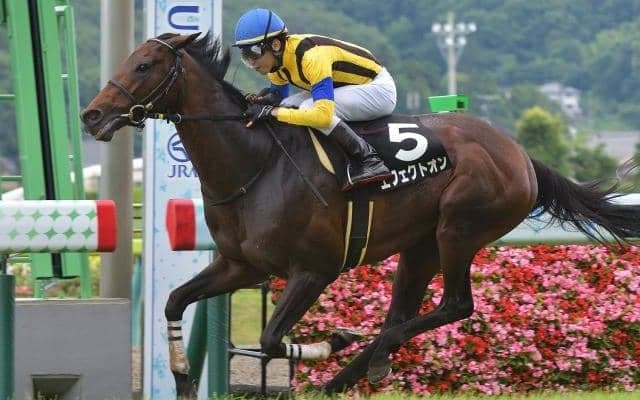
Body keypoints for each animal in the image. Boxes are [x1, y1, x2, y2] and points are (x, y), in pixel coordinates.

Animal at [81, 32, 640, 397]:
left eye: (145, 66)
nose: (92, 114)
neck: (254, 164)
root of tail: (521, 155)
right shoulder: (241, 265)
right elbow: (175, 301)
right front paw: (181, 379)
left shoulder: (314, 270)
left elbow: (270, 339)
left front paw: (334, 338)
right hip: (420, 246)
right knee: (404, 311)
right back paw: (357, 371)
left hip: (459, 228)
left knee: (454, 306)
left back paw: (357, 359)